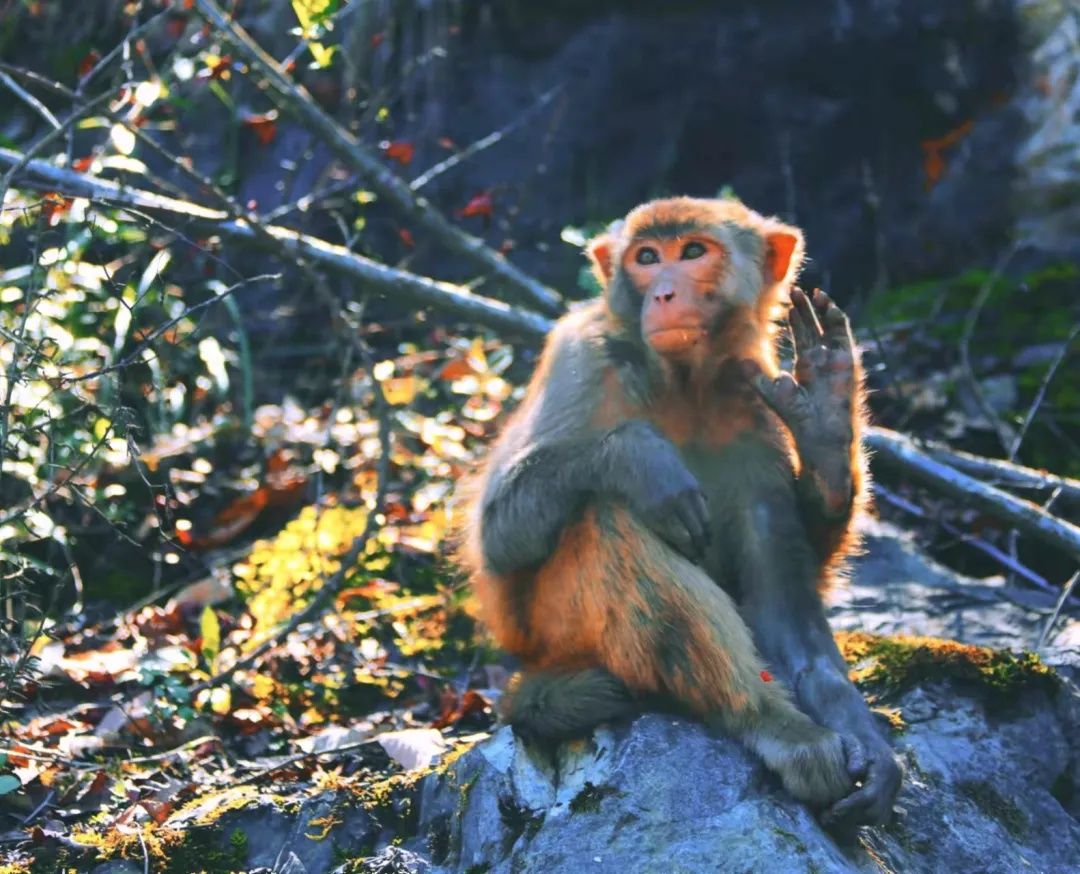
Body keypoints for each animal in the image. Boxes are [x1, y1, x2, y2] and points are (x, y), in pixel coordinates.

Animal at [455, 197, 902, 825]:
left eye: (692, 252)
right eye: (646, 258)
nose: (664, 293)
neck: (683, 380)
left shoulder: (755, 409)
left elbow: (783, 608)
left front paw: (826, 421)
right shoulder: (580, 357)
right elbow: (497, 535)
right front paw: (639, 458)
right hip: (547, 632)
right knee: (609, 519)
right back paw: (771, 724)